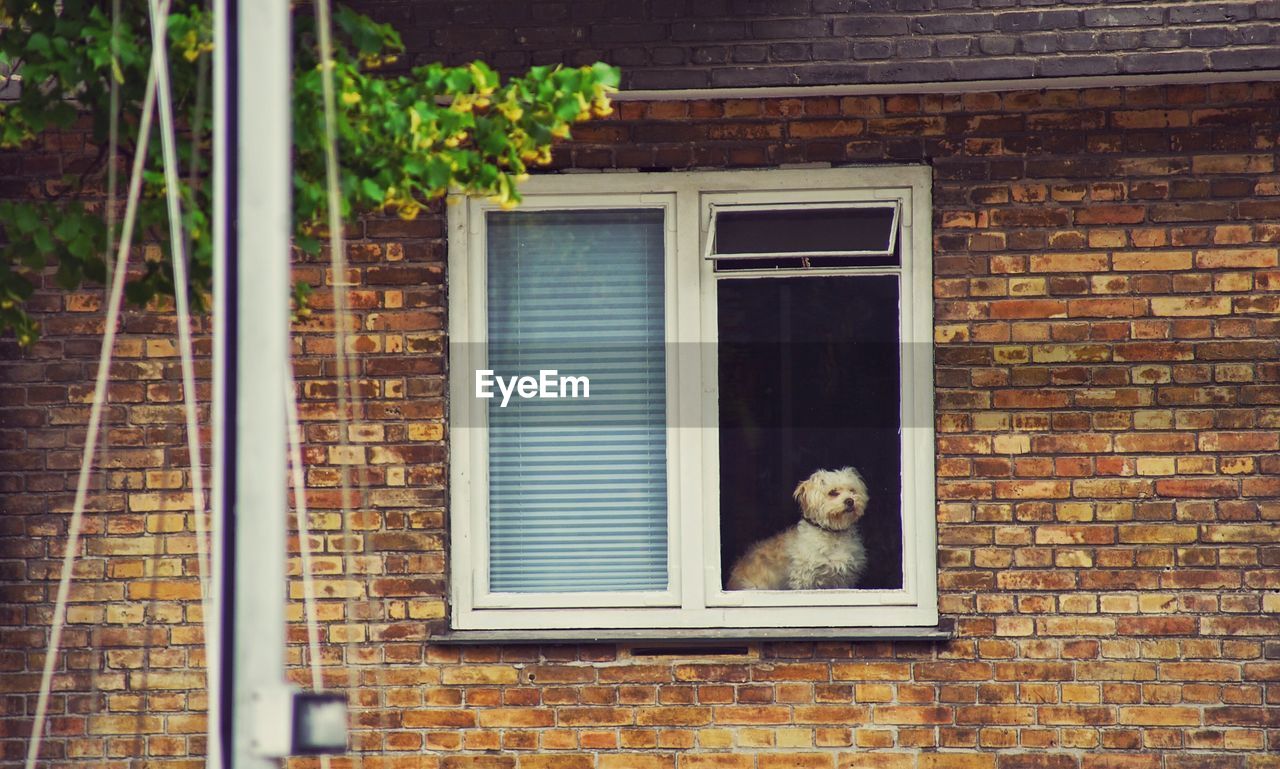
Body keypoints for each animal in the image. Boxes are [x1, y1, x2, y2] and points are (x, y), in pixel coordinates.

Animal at [732, 468, 870, 588]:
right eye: (833, 492)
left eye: (852, 491)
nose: (850, 501)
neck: (833, 533)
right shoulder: (804, 579)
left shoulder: (843, 580)